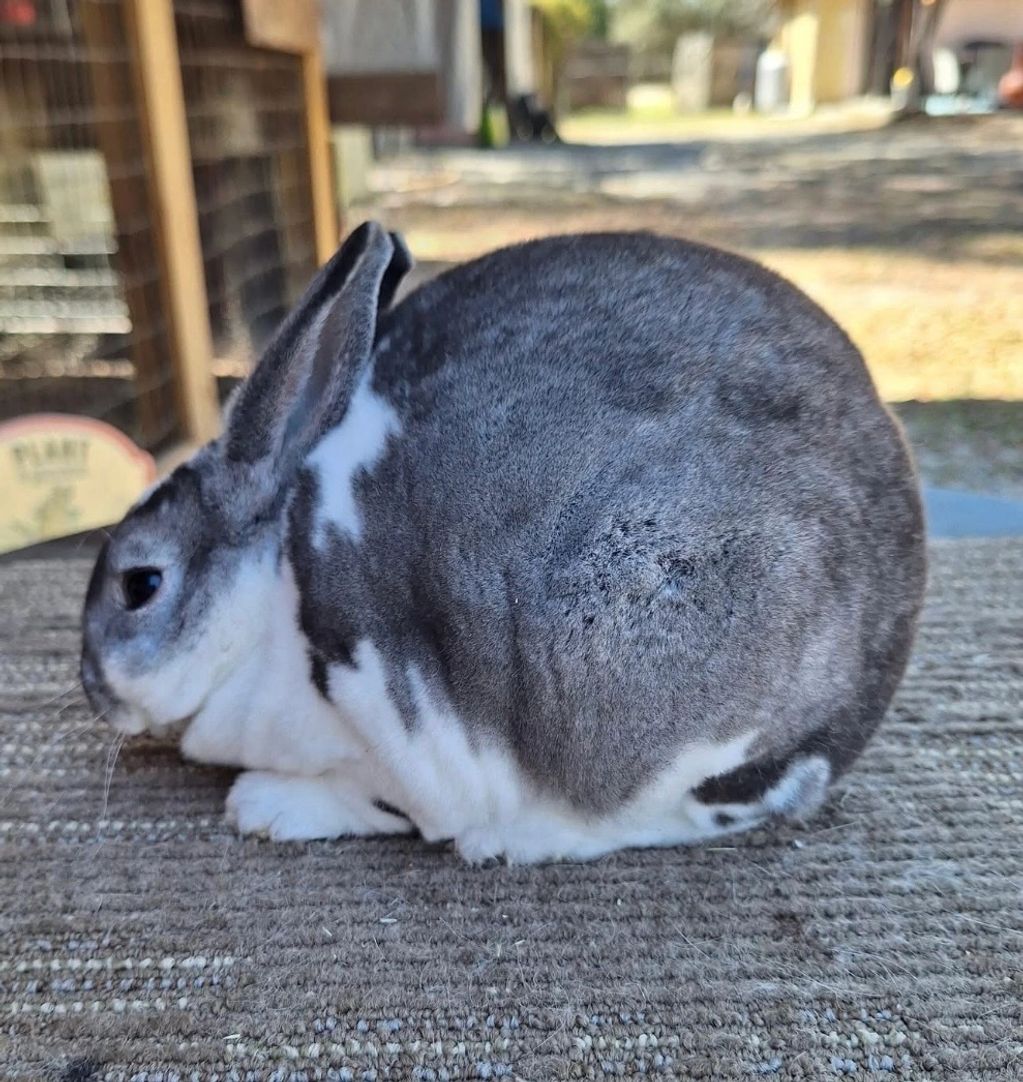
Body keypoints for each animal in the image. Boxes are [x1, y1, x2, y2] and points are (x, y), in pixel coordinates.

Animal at [80, 222, 926, 863]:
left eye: (139, 583)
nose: (92, 688)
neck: (270, 607)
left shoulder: (407, 741)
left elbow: (379, 804)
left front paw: (260, 808)